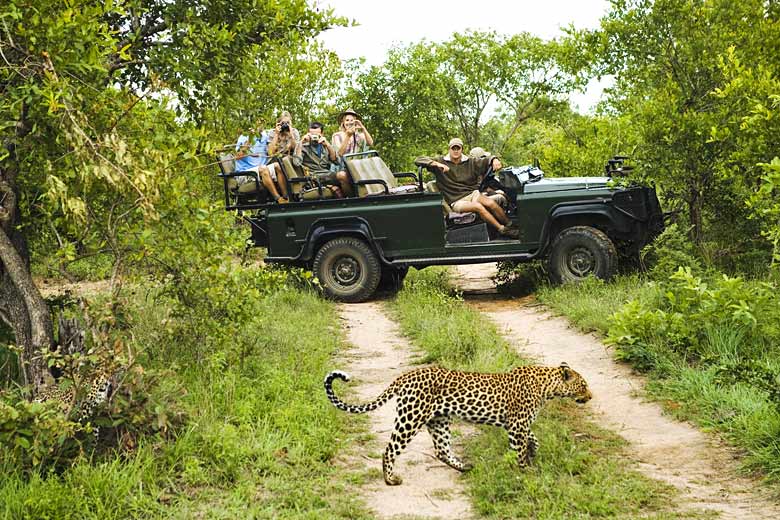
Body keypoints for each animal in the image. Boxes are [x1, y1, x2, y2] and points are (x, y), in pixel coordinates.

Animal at [322, 364, 592, 486]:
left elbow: (533, 438)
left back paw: (465, 467)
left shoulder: (516, 425)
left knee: (441, 450)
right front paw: (524, 472)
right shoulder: (516, 426)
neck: (547, 387)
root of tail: (405, 376)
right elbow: (520, 450)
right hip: (411, 417)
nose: (590, 396)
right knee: (390, 449)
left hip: (439, 420)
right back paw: (391, 479)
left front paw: (533, 452)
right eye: (583, 385)